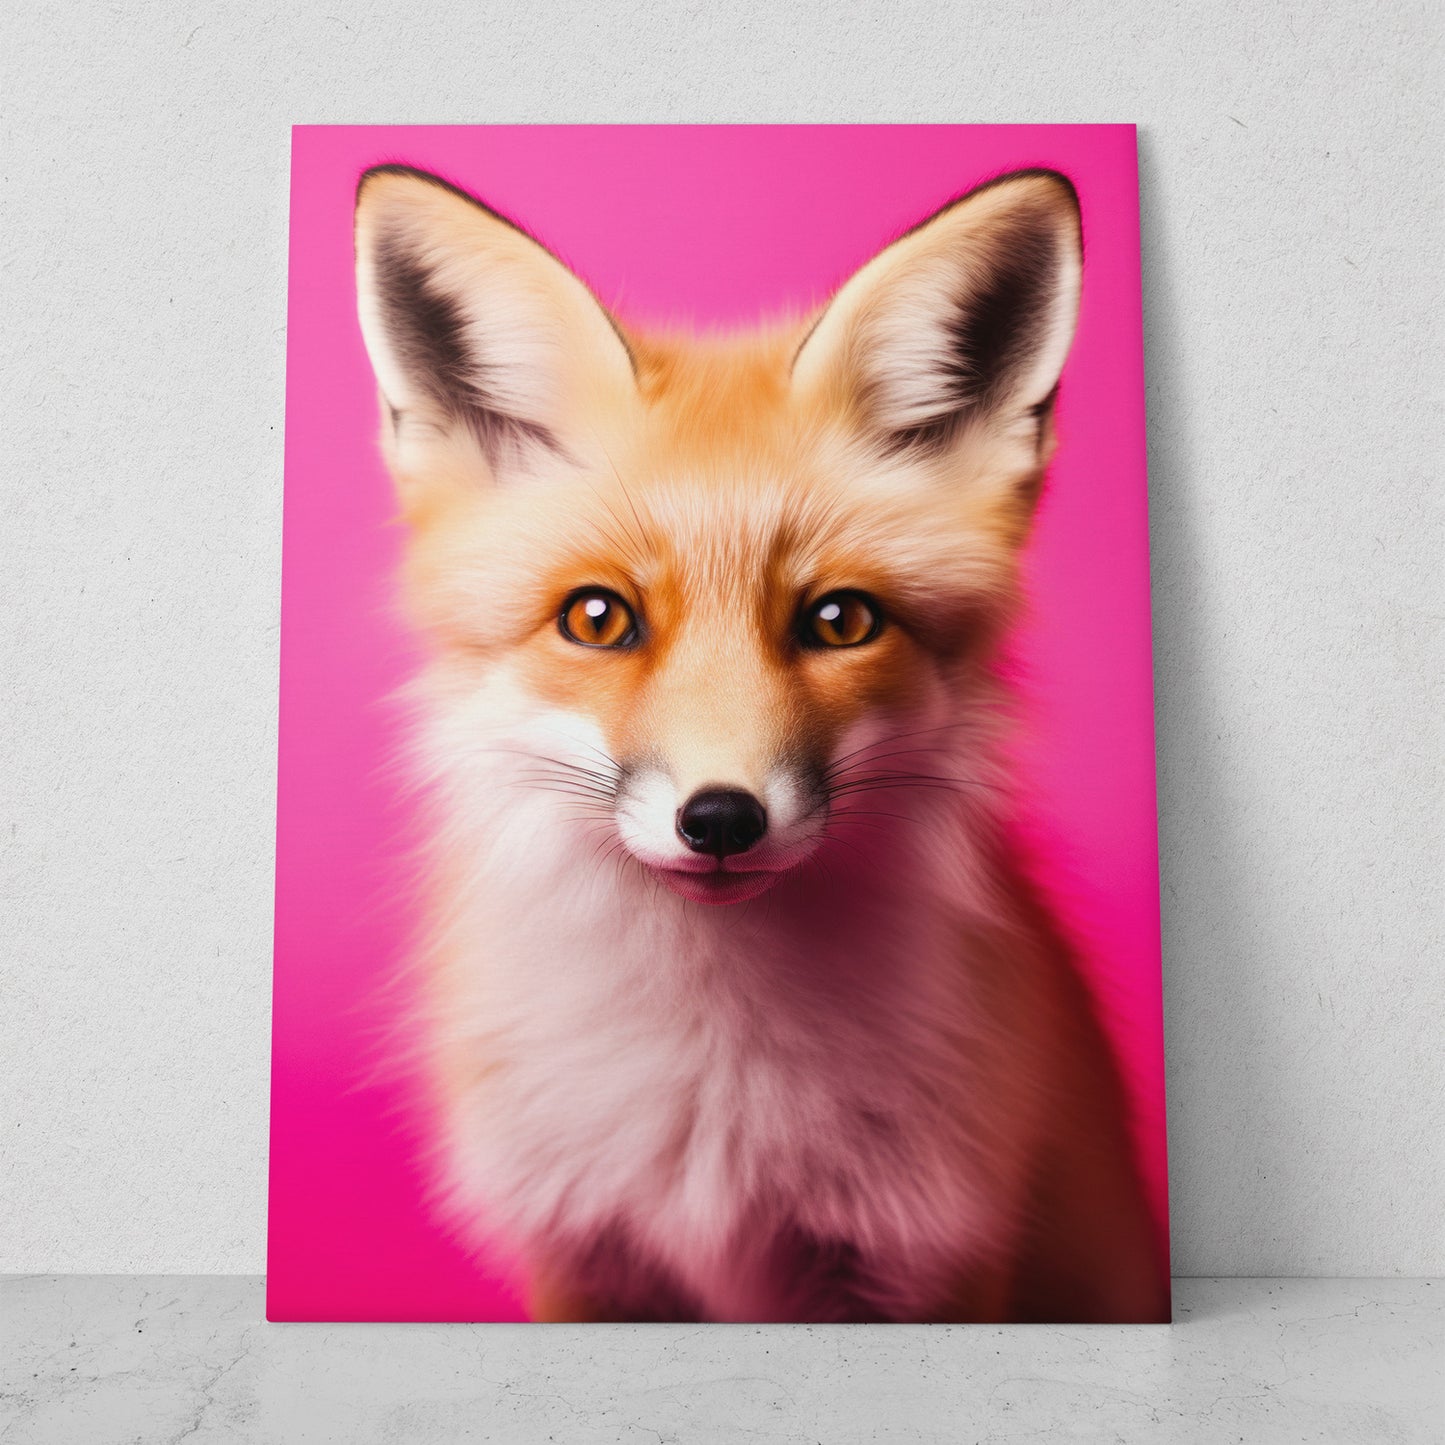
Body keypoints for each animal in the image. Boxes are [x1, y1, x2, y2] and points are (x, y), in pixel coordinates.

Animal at [352, 161, 1169, 1323]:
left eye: (839, 620)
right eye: (596, 617)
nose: (721, 819)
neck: (713, 1085)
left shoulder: (922, 1263)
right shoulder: (586, 1260)